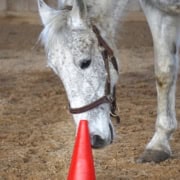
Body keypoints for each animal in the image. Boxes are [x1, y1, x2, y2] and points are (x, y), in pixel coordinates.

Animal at [38, 0, 180, 163]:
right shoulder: (159, 12)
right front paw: (159, 145)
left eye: (85, 62)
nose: (93, 139)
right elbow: (164, 71)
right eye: (55, 70)